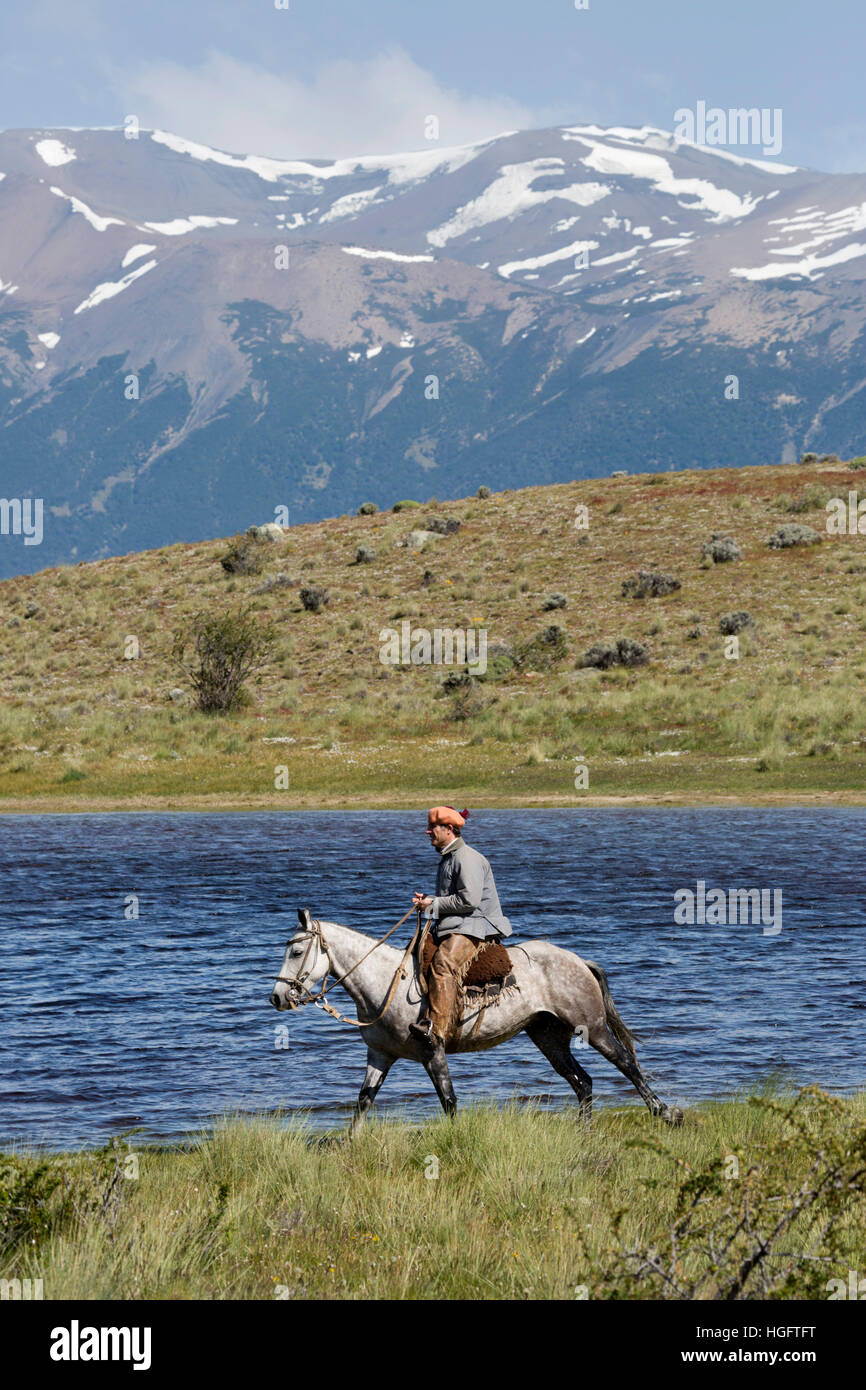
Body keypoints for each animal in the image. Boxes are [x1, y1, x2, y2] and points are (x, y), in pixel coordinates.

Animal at [271, 911, 683, 1128]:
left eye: (296, 951)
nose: (276, 997)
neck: (387, 980)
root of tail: (578, 960)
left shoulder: (432, 1051)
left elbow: (449, 1100)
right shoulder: (380, 1056)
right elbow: (362, 1102)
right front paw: (349, 1146)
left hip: (593, 1028)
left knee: (626, 1063)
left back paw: (665, 1113)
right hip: (548, 1037)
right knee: (583, 1083)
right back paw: (584, 1131)